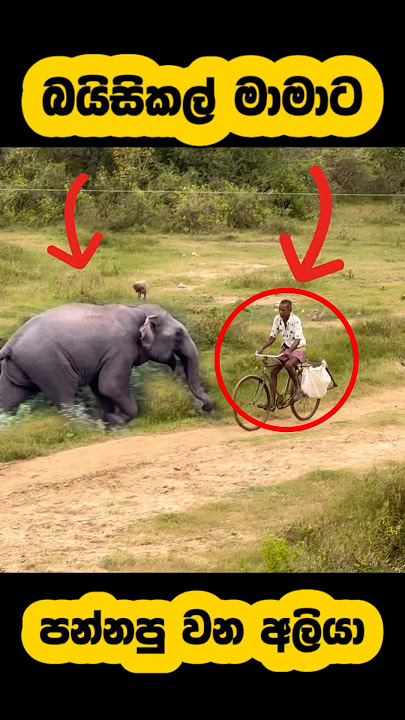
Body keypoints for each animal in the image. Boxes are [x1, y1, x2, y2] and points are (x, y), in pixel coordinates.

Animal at [0, 303, 213, 426]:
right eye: (178, 334)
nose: (207, 406)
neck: (136, 310)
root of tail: (10, 344)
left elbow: (100, 387)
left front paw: (109, 419)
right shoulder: (121, 349)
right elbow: (110, 385)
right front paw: (115, 420)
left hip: (24, 367)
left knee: (10, 396)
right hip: (49, 364)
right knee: (64, 396)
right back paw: (87, 425)